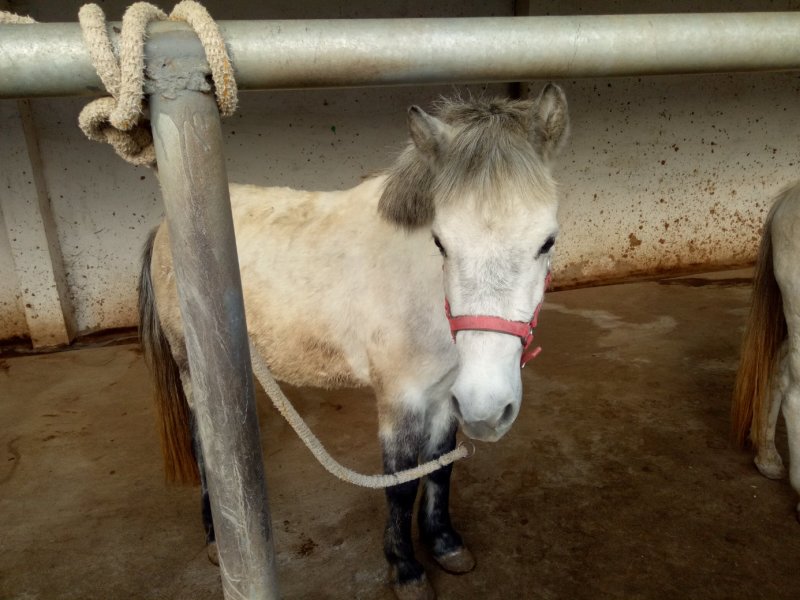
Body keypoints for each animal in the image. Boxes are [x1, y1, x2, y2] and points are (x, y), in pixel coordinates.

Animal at [138, 84, 569, 599]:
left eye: (547, 242)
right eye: (441, 243)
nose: (488, 410)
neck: (419, 285)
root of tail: (163, 228)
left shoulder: (446, 394)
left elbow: (439, 466)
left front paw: (445, 544)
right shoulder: (401, 399)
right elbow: (400, 483)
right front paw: (406, 570)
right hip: (190, 369)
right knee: (206, 447)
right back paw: (215, 539)